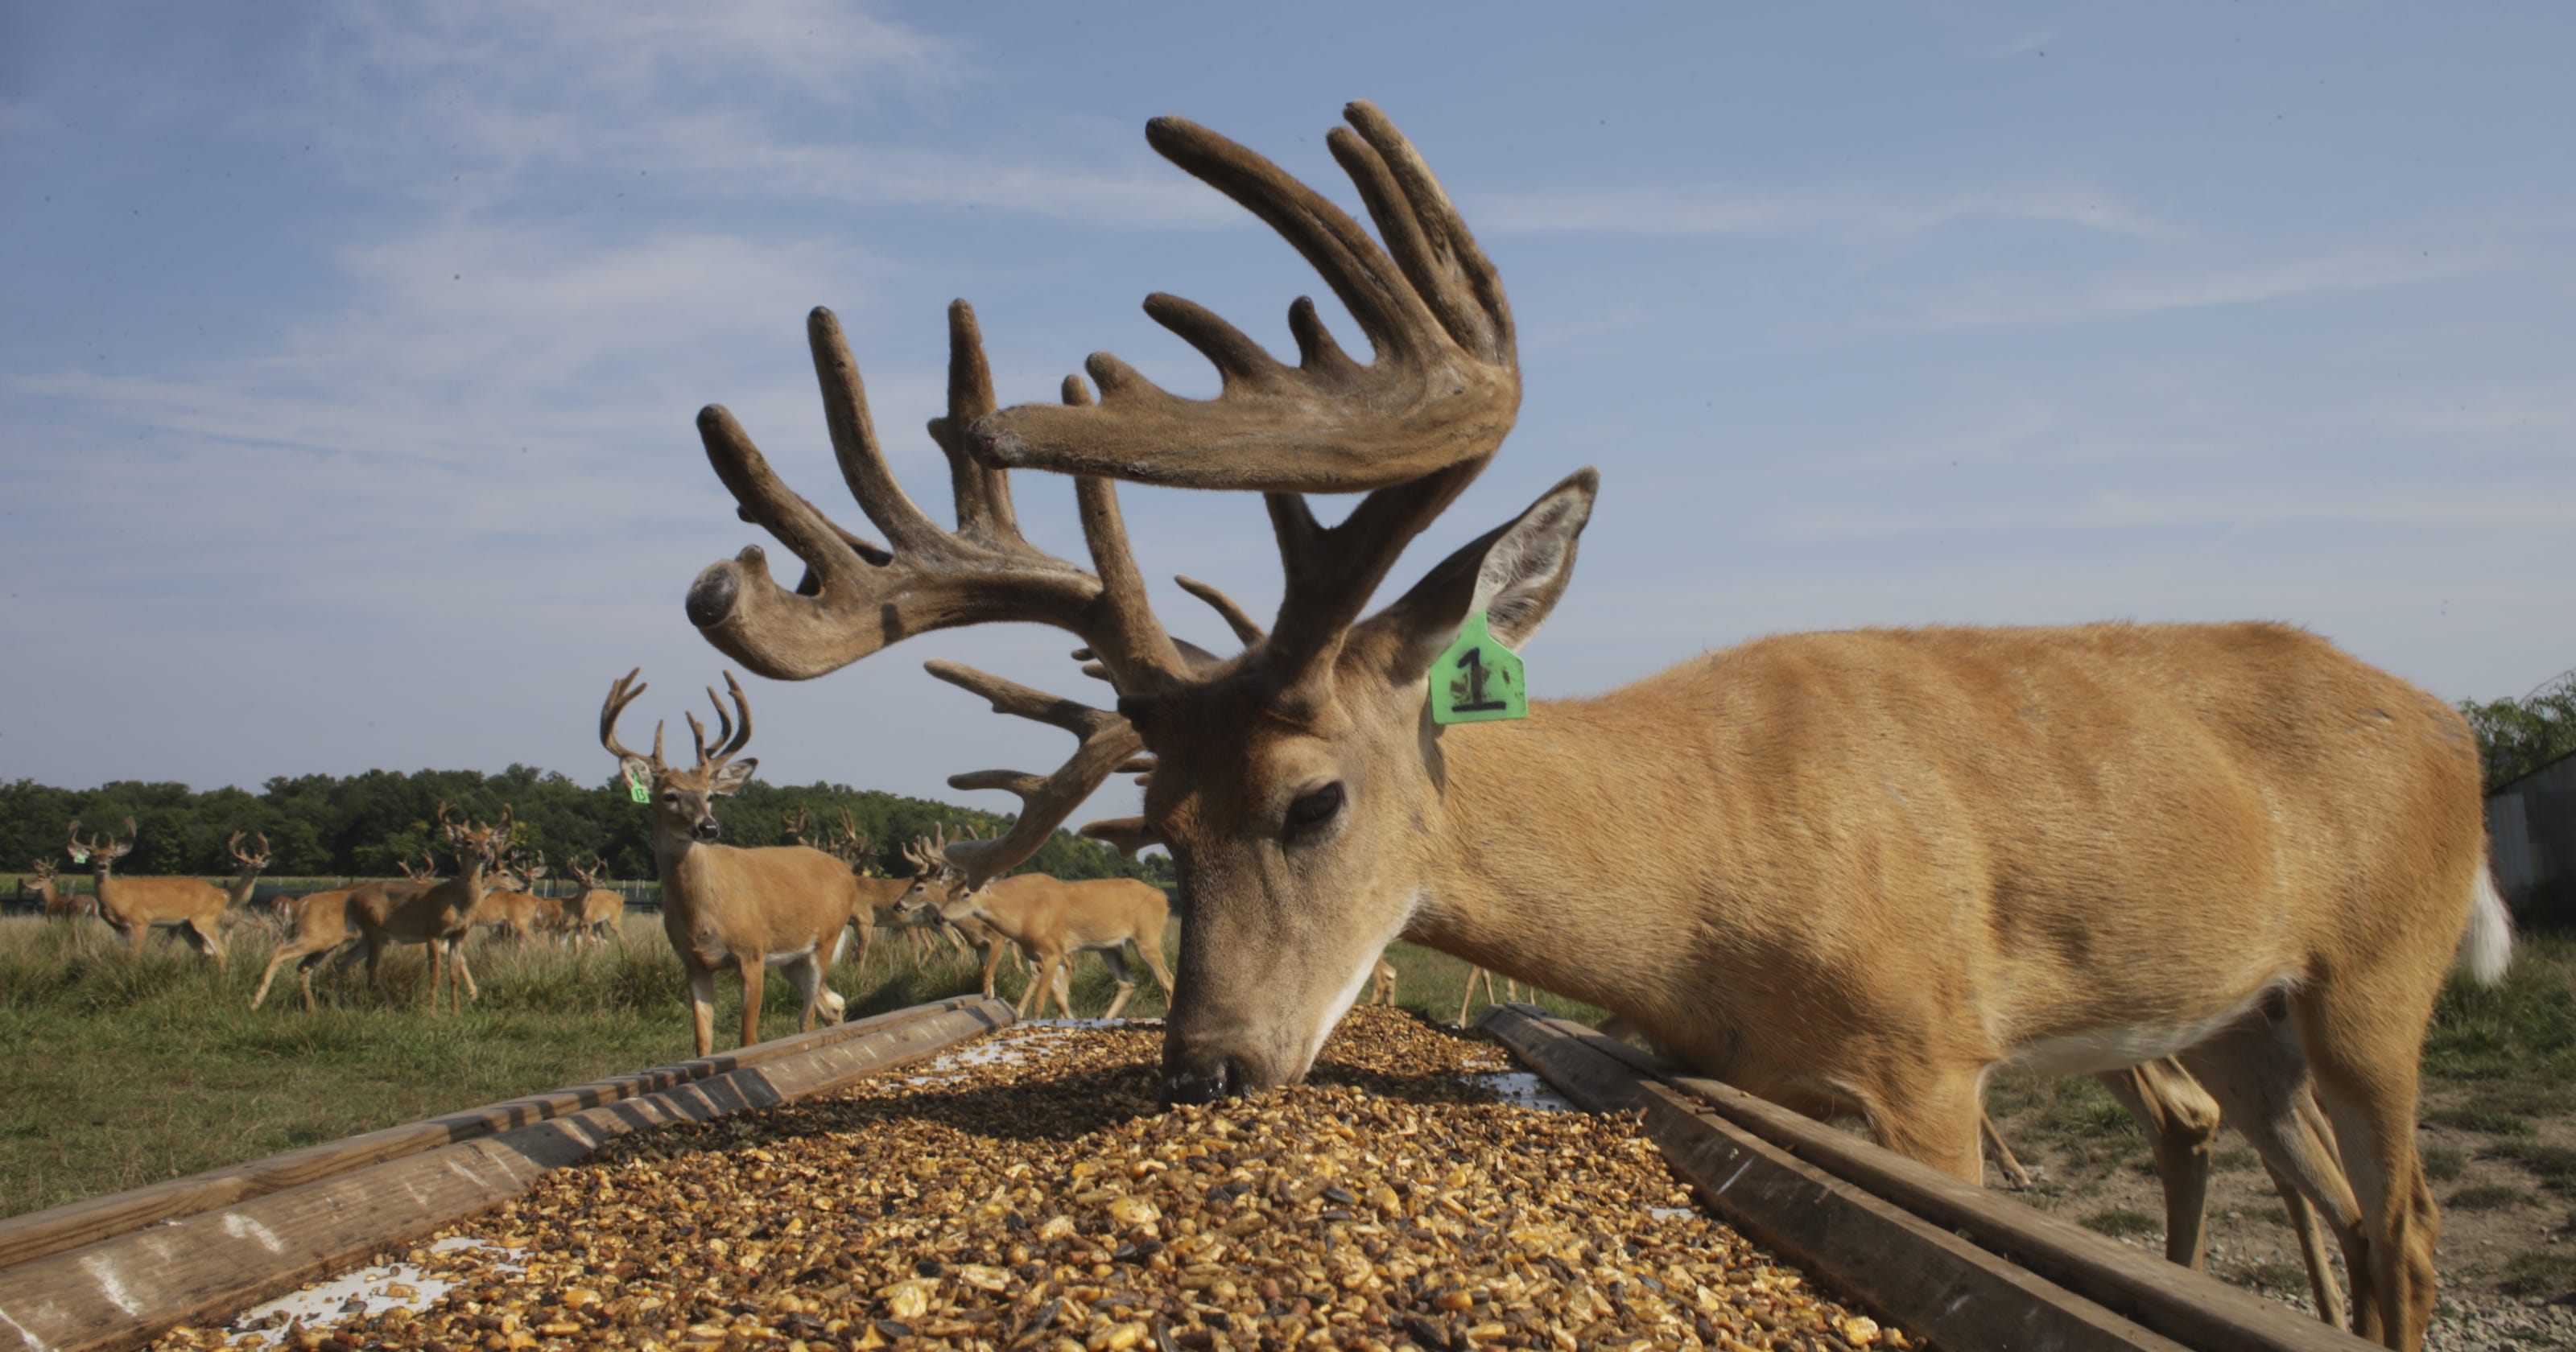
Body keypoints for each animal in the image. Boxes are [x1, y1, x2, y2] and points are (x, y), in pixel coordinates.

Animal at [68, 818, 246, 962]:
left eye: (111, 856)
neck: (117, 896)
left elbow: (134, 956)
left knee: (221, 953)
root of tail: (222, 894)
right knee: (206, 952)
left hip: (205, 920)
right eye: (93, 856)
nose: (102, 866)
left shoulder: (140, 921)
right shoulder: (119, 928)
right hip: (187, 926)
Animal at [602, 664, 865, 1056]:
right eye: (669, 795)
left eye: (710, 795)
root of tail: (845, 871)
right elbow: (703, 1043)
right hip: (792, 959)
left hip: (825, 940)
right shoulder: (693, 963)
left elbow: (748, 1039)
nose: (709, 827)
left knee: (808, 1017)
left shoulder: (752, 952)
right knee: (831, 1005)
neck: (704, 915)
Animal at [675, 100, 2504, 1339]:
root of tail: (2447, 719)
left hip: (2378, 974)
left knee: (2407, 1214)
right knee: (2330, 1196)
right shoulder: (1736, 1065)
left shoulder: (1931, 1056)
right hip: (2241, 1012)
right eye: (1154, 828)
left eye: (1313, 799)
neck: (1710, 880)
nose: (1206, 1070)